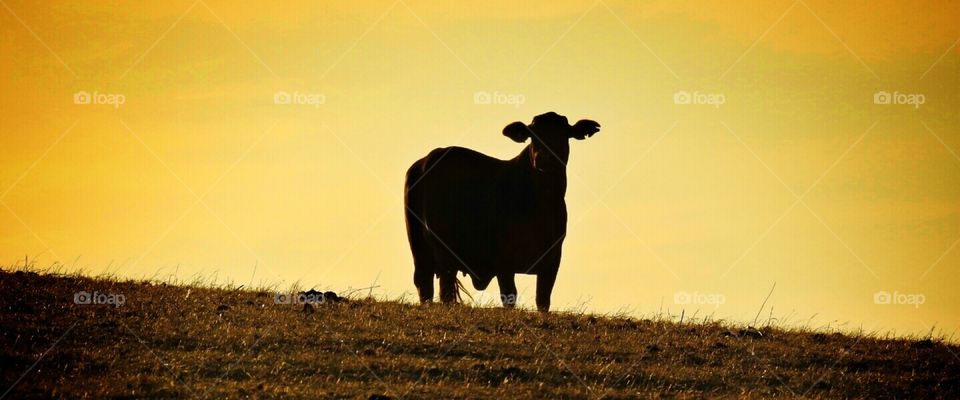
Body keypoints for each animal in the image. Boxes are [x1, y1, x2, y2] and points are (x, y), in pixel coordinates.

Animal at [404, 112, 600, 312]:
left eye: (562, 134)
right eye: (533, 135)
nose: (544, 158)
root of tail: (430, 157)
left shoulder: (552, 260)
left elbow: (543, 300)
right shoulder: (504, 261)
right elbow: (509, 296)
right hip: (430, 248)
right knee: (434, 285)